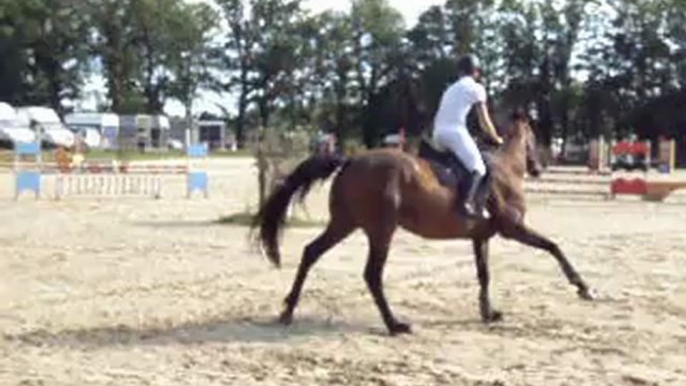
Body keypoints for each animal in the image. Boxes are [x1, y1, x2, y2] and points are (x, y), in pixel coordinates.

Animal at [250, 111, 592, 334]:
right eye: (533, 139)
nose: (537, 168)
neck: (506, 170)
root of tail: (350, 160)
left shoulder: (480, 236)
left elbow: (484, 273)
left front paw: (488, 313)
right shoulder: (514, 230)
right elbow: (553, 247)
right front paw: (583, 287)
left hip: (345, 223)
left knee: (311, 252)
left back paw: (288, 310)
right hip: (381, 230)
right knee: (372, 274)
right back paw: (394, 325)